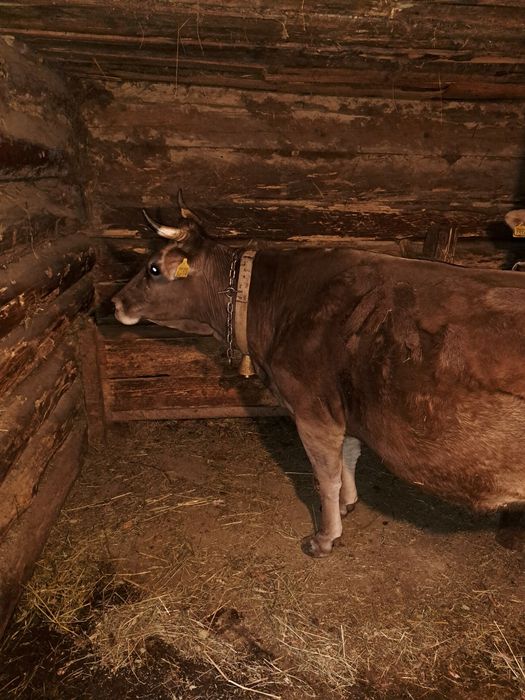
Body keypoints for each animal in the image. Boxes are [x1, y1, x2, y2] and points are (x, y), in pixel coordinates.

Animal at [112, 194, 525, 557]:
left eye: (153, 268)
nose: (115, 302)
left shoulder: (311, 409)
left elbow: (325, 475)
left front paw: (325, 537)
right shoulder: (341, 407)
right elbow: (349, 456)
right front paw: (348, 503)